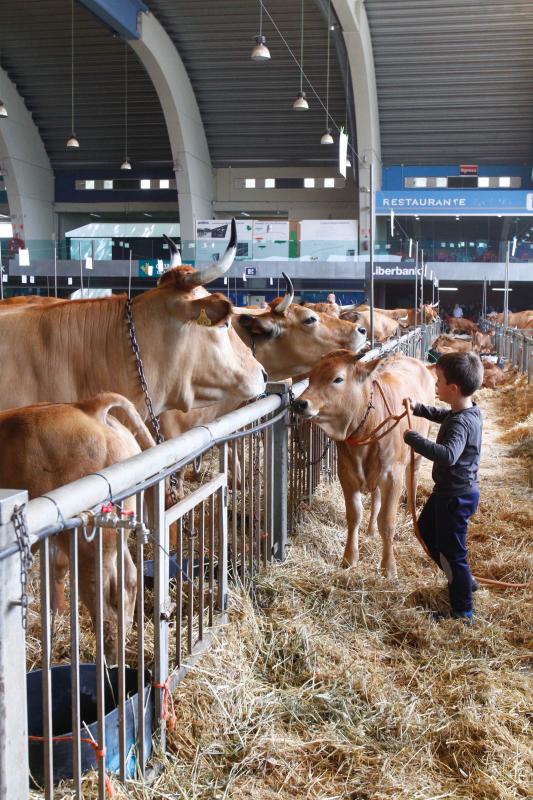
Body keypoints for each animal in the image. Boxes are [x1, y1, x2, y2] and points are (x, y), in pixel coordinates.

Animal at [0, 394, 156, 664]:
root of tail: (88, 407)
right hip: (117, 531)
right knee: (129, 579)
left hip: (89, 542)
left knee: (104, 597)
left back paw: (108, 658)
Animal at [294, 354, 434, 576]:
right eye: (311, 377)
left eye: (338, 379)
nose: (299, 403)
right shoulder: (346, 473)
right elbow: (354, 516)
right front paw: (349, 558)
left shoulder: (392, 476)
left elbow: (387, 522)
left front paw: (388, 567)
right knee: (376, 499)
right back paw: (370, 530)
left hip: (416, 455)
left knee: (412, 481)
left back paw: (408, 515)